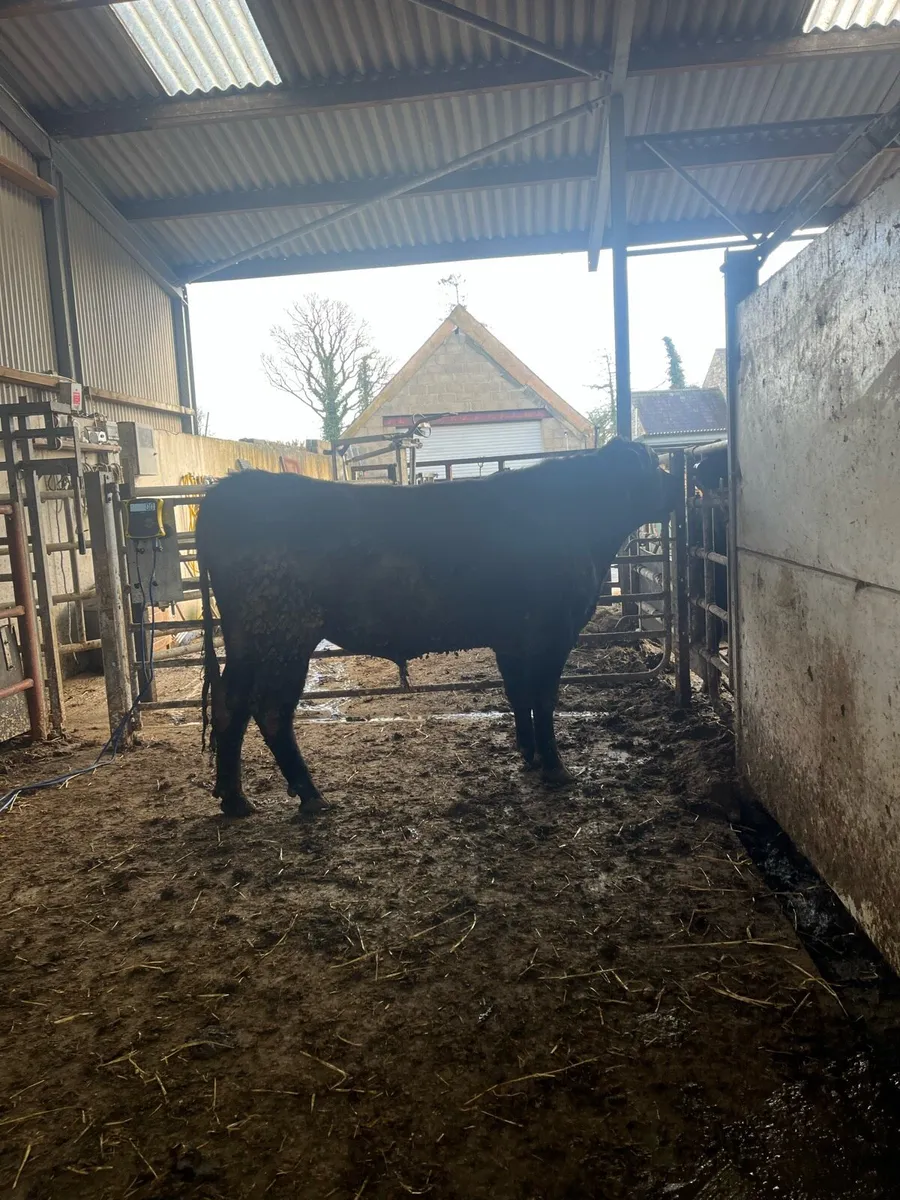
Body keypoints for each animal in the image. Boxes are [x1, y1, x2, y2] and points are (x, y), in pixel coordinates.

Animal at [196, 438, 678, 818]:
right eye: (655, 463)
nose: (679, 487)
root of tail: (229, 490)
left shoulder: (513, 638)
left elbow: (519, 695)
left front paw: (528, 756)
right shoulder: (552, 630)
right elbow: (543, 699)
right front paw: (556, 768)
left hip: (248, 639)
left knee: (230, 704)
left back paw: (235, 799)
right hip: (285, 634)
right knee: (271, 710)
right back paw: (310, 796)